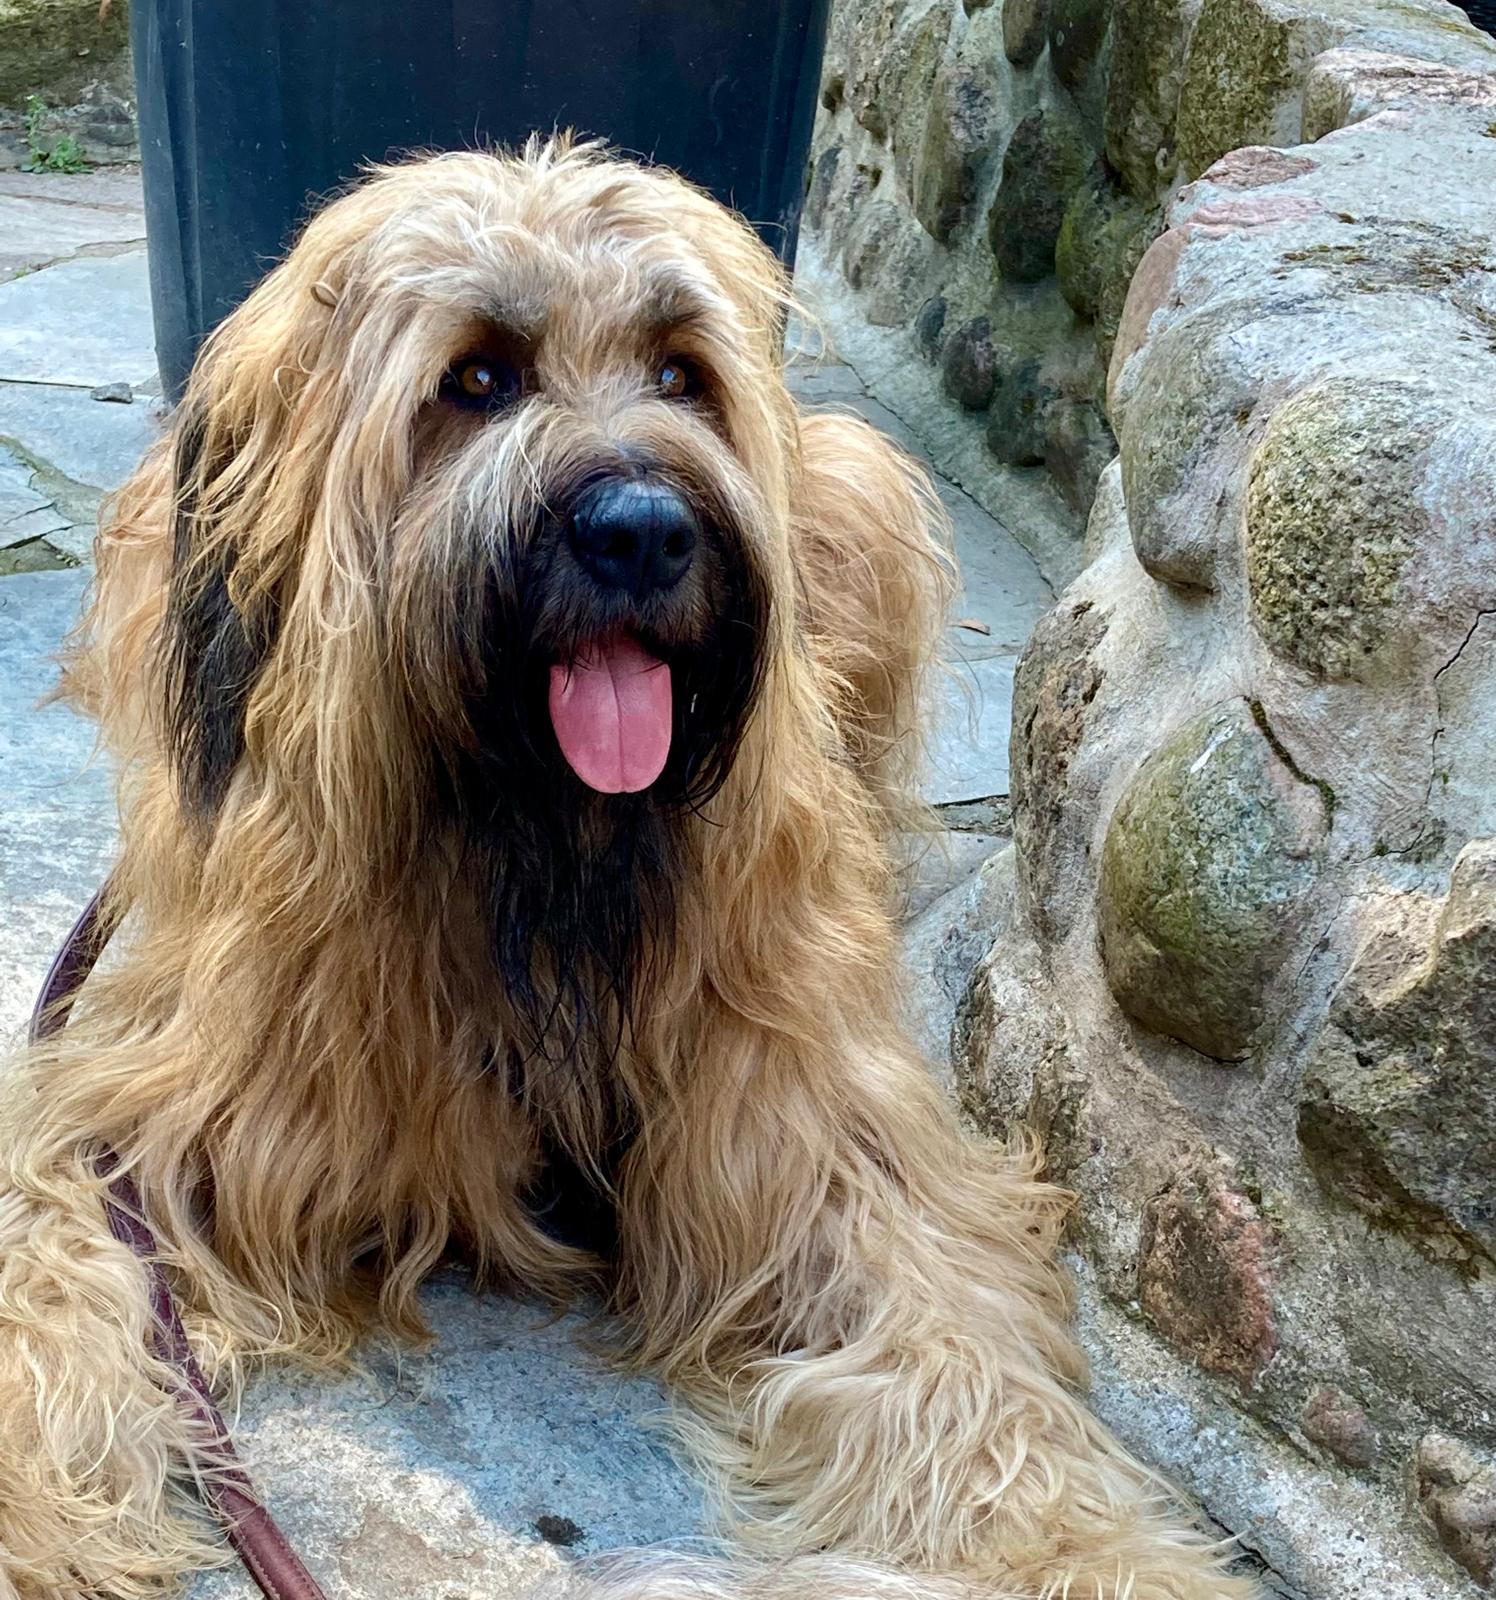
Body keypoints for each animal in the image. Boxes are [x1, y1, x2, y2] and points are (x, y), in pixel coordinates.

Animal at [0, 140, 1253, 1600]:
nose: (645, 532)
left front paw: (1084, 1547)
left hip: (864, 489)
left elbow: (956, 1338)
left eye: (678, 372)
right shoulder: (154, 1112)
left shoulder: (811, 1120)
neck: (538, 853)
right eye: (475, 378)